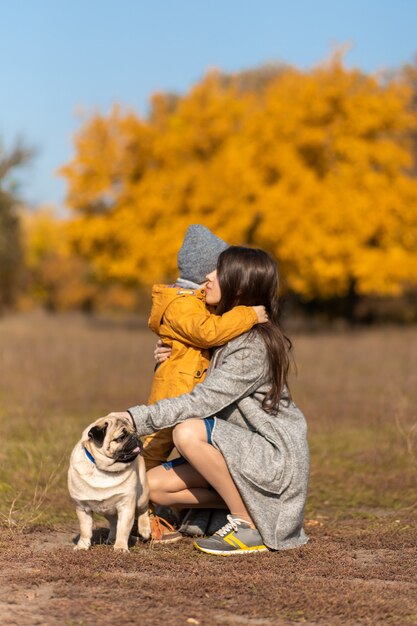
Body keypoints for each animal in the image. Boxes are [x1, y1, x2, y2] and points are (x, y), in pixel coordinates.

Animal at [68, 414, 151, 552]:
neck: (104, 469)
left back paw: (145, 530)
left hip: (142, 496)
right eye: (121, 437)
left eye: (135, 432)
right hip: (108, 511)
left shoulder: (126, 506)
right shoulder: (83, 508)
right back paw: (111, 538)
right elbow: (85, 530)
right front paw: (82, 546)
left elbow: (123, 529)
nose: (135, 437)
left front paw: (121, 547)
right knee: (114, 523)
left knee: (143, 511)